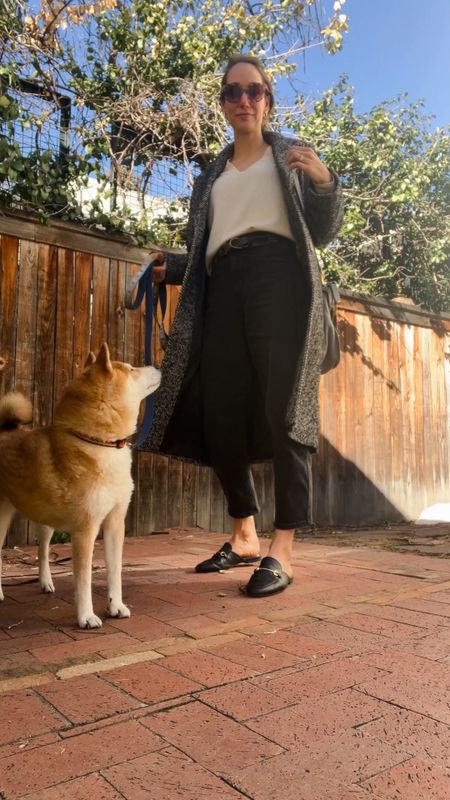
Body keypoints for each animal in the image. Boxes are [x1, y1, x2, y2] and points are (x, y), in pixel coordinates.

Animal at [0, 346, 161, 628]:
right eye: (132, 369)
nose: (158, 366)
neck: (99, 443)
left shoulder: (114, 524)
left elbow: (115, 572)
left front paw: (116, 606)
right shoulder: (85, 530)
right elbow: (83, 580)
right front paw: (86, 616)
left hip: (45, 521)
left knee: (42, 551)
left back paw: (46, 582)